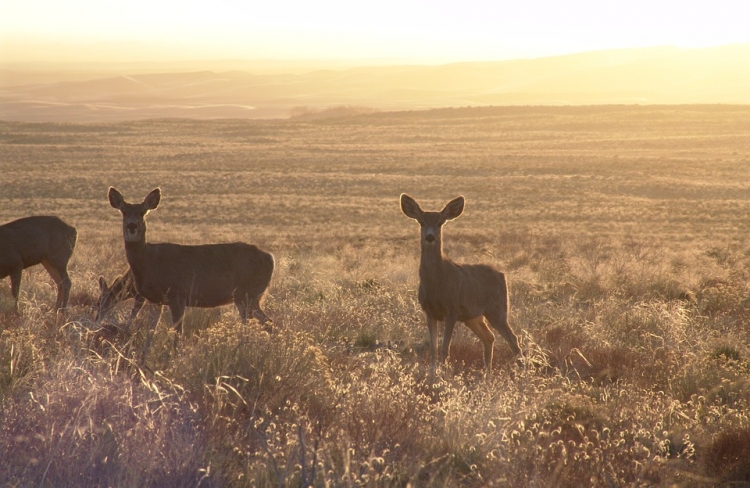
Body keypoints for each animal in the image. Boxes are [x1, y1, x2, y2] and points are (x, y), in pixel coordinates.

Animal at [108, 188, 276, 354]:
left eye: (142, 212)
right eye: (123, 211)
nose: (132, 226)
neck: (148, 261)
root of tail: (270, 258)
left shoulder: (177, 293)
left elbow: (178, 332)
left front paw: (175, 355)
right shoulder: (155, 300)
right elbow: (151, 332)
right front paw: (144, 355)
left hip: (247, 294)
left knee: (261, 323)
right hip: (248, 296)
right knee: (266, 324)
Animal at [400, 193, 524, 376]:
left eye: (440, 222)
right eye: (421, 222)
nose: (430, 237)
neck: (435, 284)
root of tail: (502, 275)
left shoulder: (452, 309)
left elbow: (445, 348)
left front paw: (442, 373)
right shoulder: (429, 311)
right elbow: (433, 348)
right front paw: (433, 372)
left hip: (497, 309)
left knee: (513, 338)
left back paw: (523, 371)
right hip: (472, 316)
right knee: (489, 337)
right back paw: (487, 373)